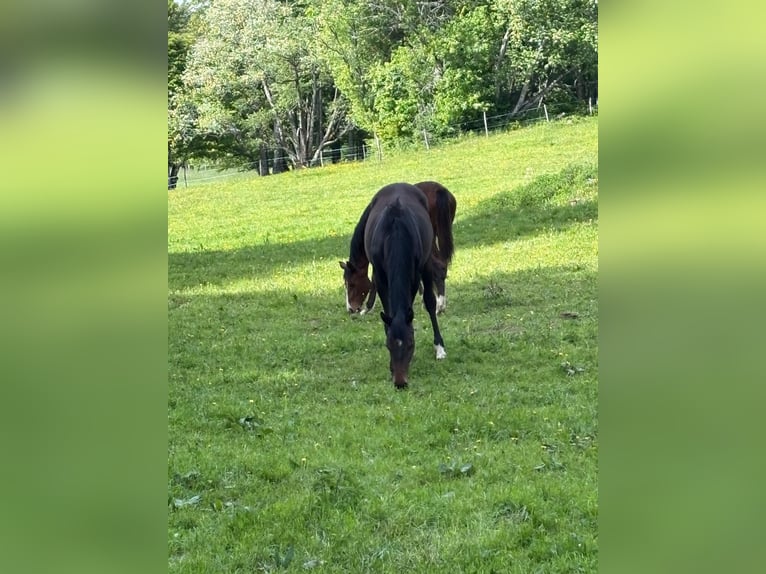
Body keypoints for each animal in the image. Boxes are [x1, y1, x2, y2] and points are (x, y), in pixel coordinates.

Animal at [339, 181, 455, 315]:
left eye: (351, 284)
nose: (351, 309)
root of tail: (439, 190)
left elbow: (374, 280)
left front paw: (368, 307)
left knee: (439, 266)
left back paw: (439, 305)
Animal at [344, 182, 446, 388]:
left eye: (410, 344)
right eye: (388, 345)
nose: (400, 382)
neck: (395, 232)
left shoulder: (414, 273)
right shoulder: (380, 273)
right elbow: (387, 310)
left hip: (426, 260)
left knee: (431, 299)